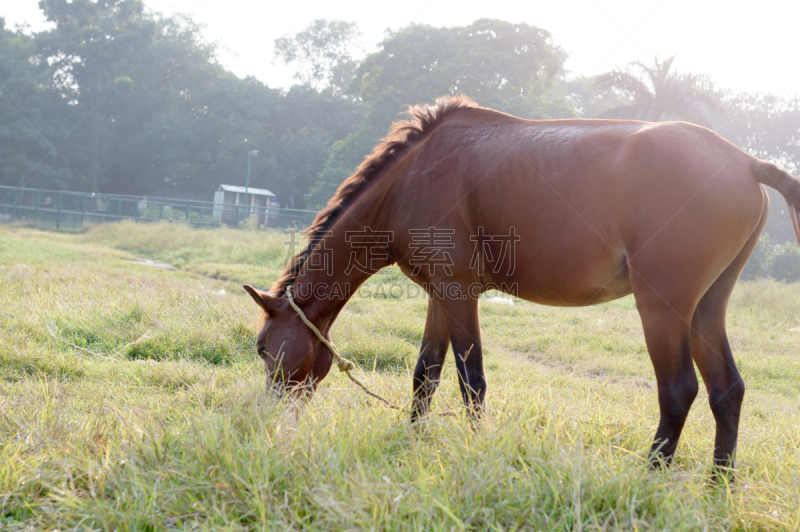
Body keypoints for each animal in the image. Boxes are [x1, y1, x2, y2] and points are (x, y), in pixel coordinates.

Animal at [242, 95, 800, 474]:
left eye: (262, 346)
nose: (266, 419)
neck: (414, 175)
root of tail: (745, 161)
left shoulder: (458, 291)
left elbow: (471, 379)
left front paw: (474, 451)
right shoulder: (441, 294)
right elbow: (425, 374)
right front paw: (412, 441)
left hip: (663, 309)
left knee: (678, 390)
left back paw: (650, 476)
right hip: (707, 308)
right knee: (727, 390)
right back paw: (718, 485)